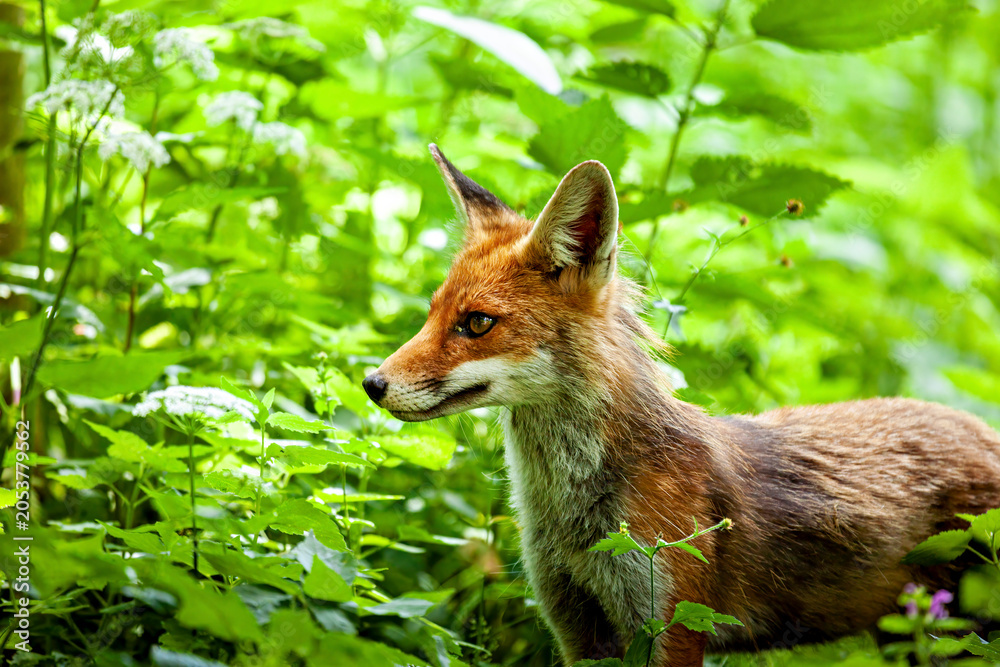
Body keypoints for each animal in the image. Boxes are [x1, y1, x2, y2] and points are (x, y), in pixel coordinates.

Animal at [361, 144, 1000, 666]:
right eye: (431, 314)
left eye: (477, 324)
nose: (372, 383)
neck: (575, 515)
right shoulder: (577, 626)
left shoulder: (672, 623)